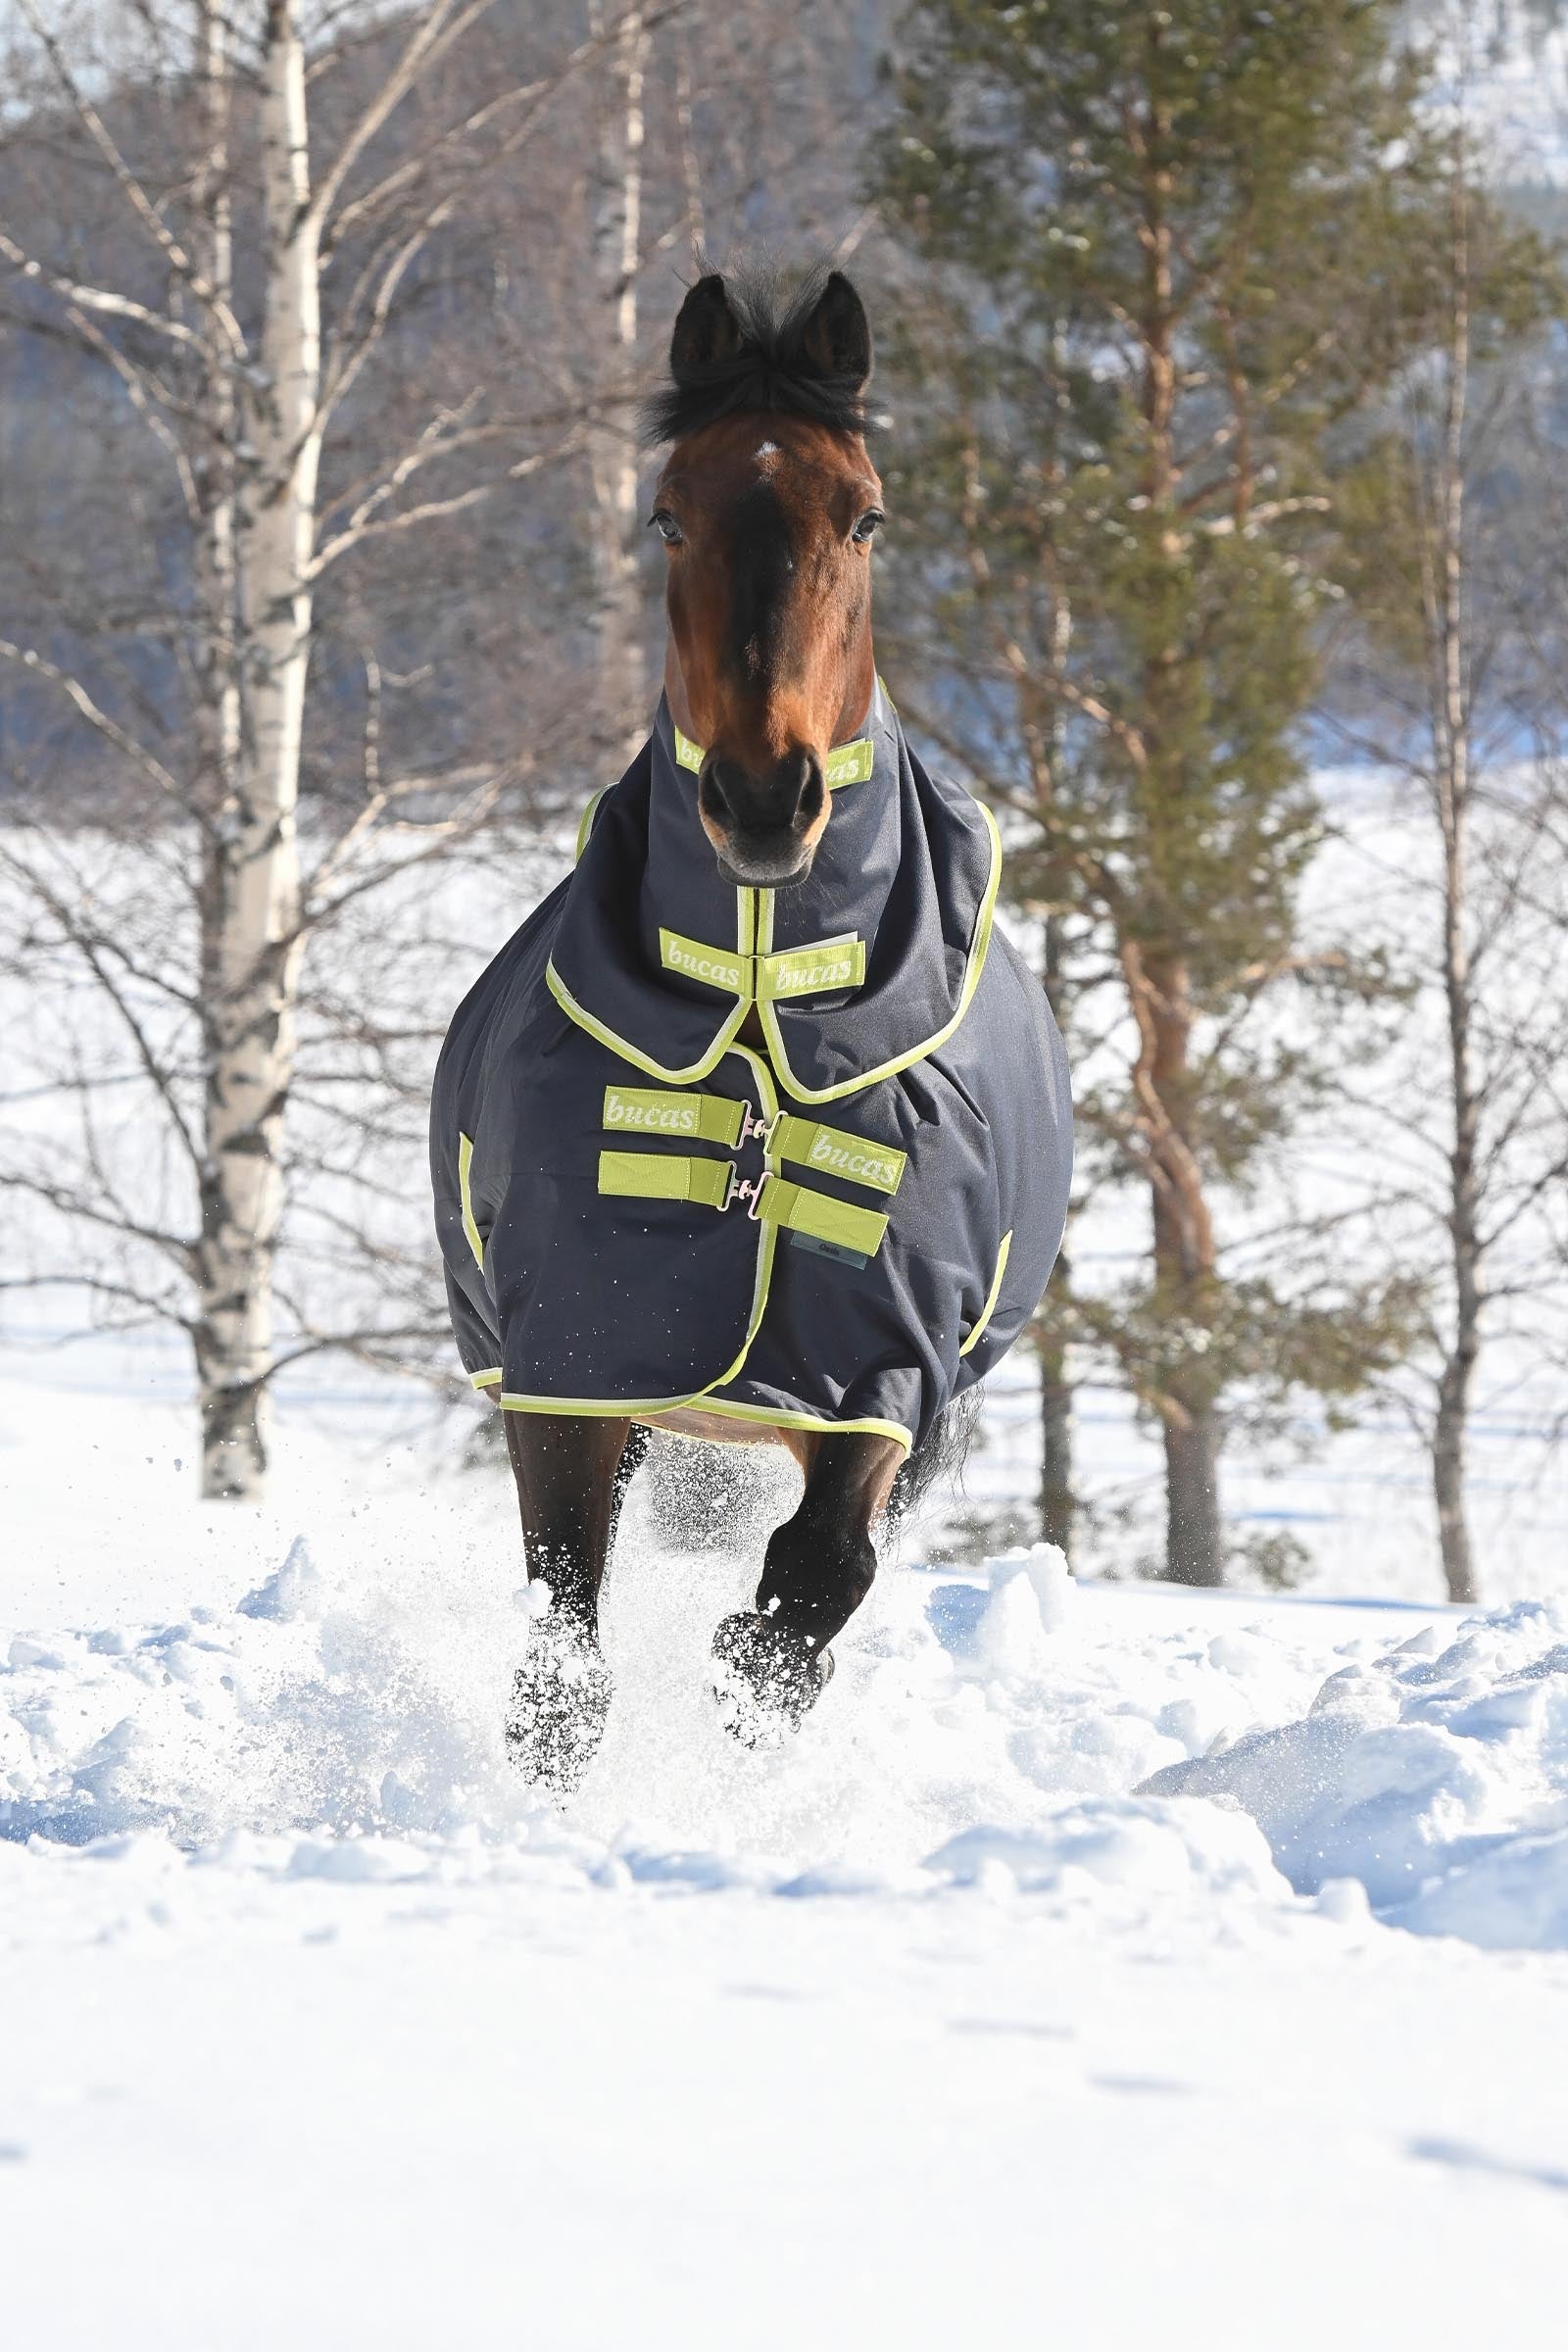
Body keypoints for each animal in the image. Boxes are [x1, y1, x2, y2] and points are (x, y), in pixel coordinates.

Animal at [431, 265, 1072, 1794]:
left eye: (868, 514)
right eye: (669, 512)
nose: (767, 798)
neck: (768, 996)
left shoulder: (878, 1373)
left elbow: (812, 1588)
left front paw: (744, 1724)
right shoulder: (571, 1362)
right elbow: (564, 1654)